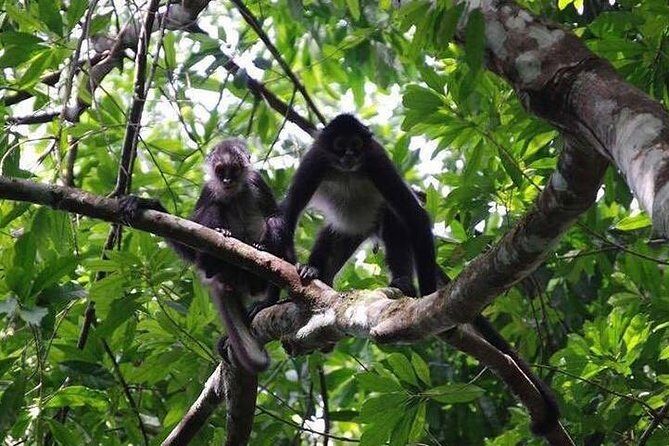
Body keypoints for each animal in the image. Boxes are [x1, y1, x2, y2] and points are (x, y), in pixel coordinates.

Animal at [121, 139, 290, 374]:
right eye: (220, 171)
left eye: (234, 170)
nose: (227, 180)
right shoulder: (208, 189)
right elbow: (193, 244)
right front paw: (147, 204)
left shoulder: (257, 182)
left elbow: (276, 217)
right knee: (213, 208)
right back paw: (216, 247)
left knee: (273, 223)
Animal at [281, 114, 560, 434]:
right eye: (340, 145)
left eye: (356, 145)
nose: (350, 155)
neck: (347, 172)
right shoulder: (316, 161)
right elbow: (288, 211)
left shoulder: (376, 161)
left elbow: (414, 216)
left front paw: (427, 292)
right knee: (332, 236)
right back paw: (315, 271)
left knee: (394, 221)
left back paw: (401, 282)